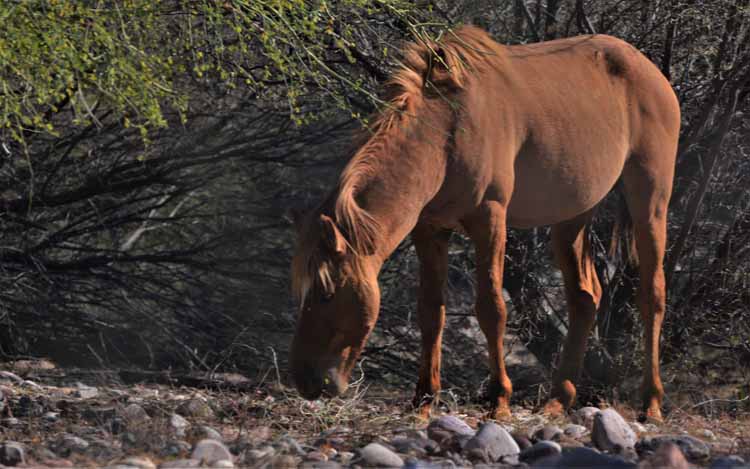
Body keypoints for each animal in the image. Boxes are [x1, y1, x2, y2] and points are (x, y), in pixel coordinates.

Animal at [288, 24, 680, 420]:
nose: (304, 380)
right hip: (572, 216)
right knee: (585, 298)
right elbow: (431, 312)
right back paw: (558, 399)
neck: (445, 133)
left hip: (649, 201)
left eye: (326, 292)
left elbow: (491, 308)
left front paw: (499, 399)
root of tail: (649, 69)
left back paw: (651, 402)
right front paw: (423, 400)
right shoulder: (430, 229)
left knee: (652, 296)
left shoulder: (489, 218)